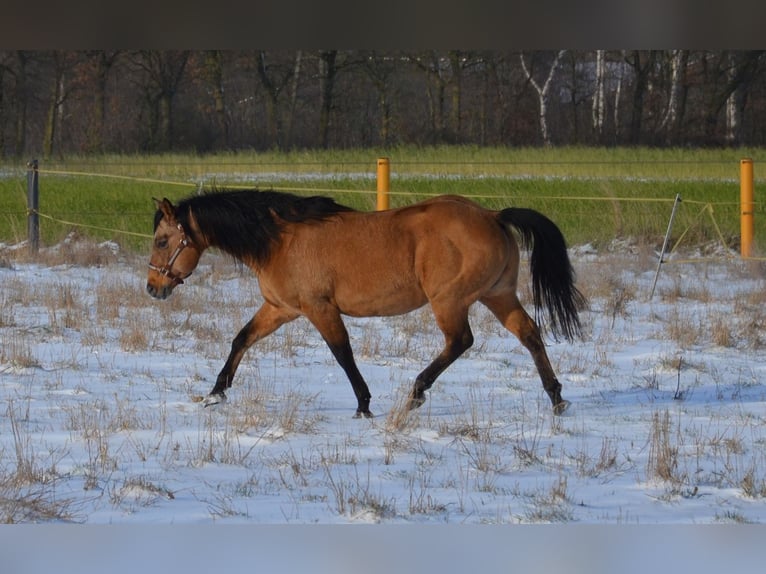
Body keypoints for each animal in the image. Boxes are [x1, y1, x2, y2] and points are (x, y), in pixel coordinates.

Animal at [146, 188, 586, 418]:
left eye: (163, 240)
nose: (152, 287)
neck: (279, 240)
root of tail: (493, 215)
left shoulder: (319, 308)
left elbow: (343, 354)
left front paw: (363, 404)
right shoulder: (281, 308)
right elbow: (241, 339)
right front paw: (215, 392)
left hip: (450, 300)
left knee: (460, 341)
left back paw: (415, 393)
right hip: (498, 294)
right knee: (530, 335)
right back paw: (556, 397)